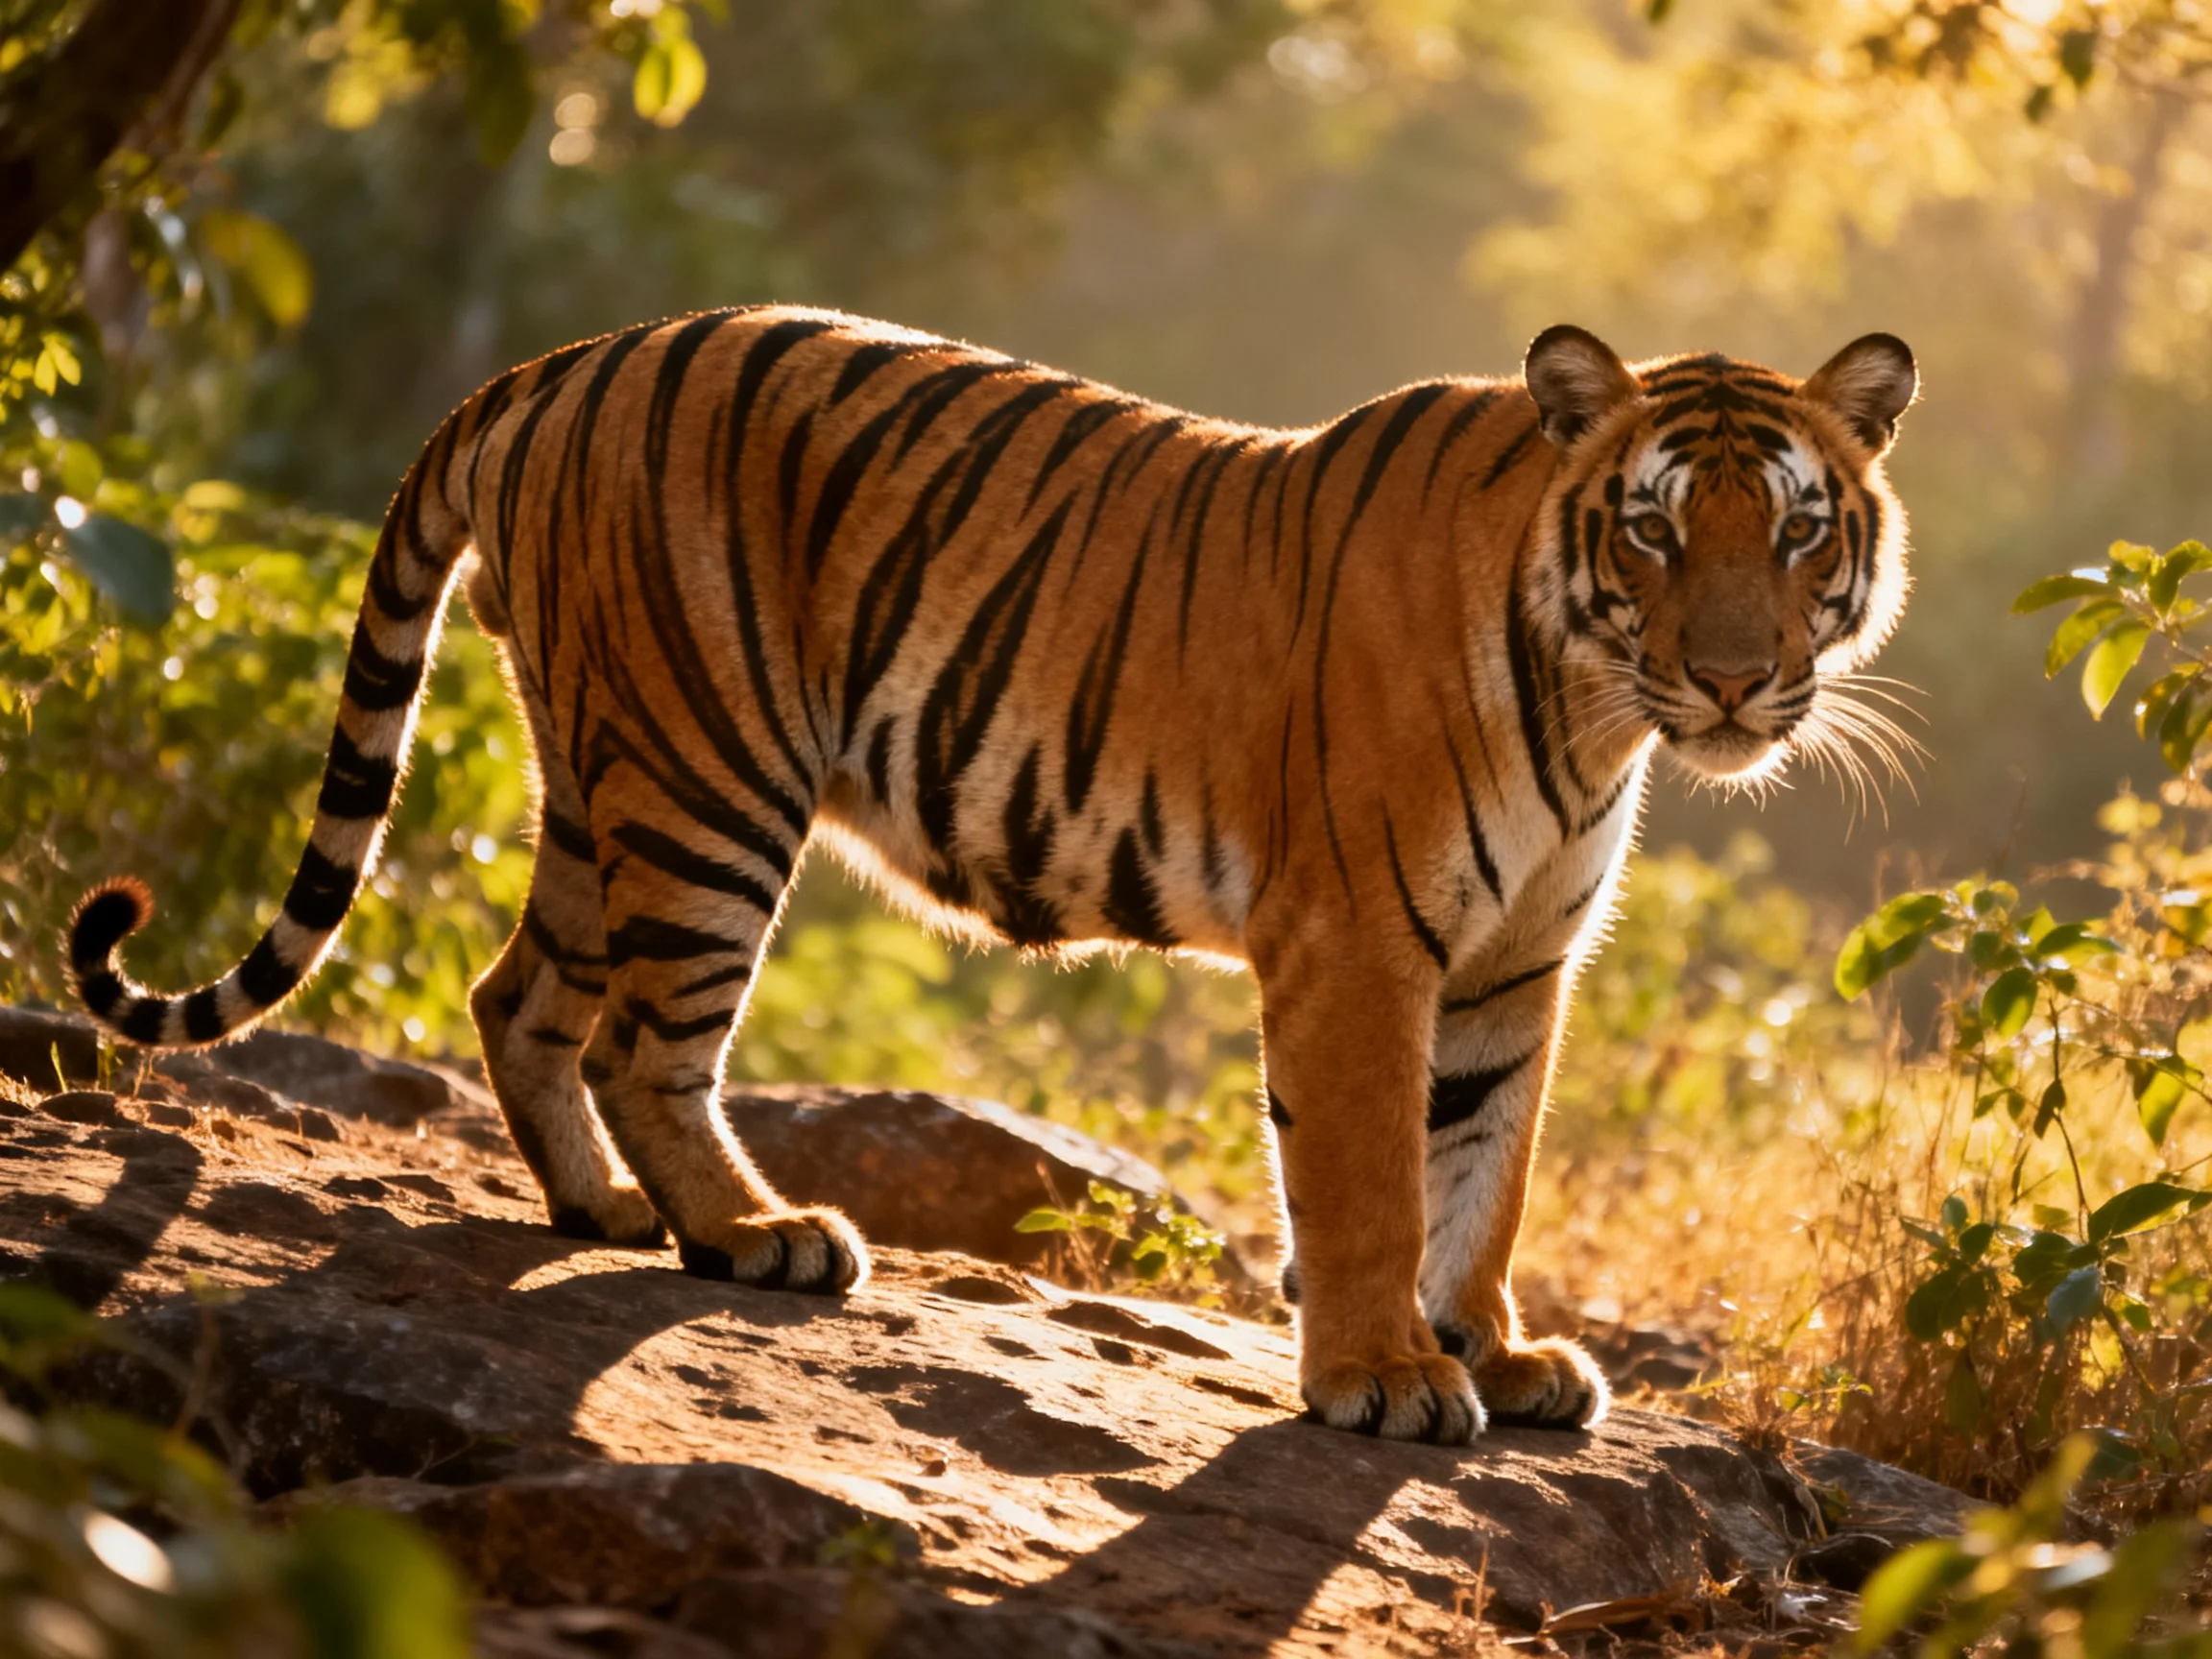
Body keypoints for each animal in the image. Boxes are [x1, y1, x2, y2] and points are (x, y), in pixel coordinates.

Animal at [66, 306, 1915, 1445]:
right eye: (1655, 529)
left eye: (1798, 529)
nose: (1737, 682)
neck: (1595, 711)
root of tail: (560, 359)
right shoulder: (1359, 947)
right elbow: (1375, 1184)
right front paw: (1384, 1375)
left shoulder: (1513, 963)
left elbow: (1487, 1172)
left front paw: (1494, 1350)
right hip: (704, 774)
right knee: (645, 1039)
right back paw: (752, 1233)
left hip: (598, 774)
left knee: (515, 993)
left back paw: (598, 1208)